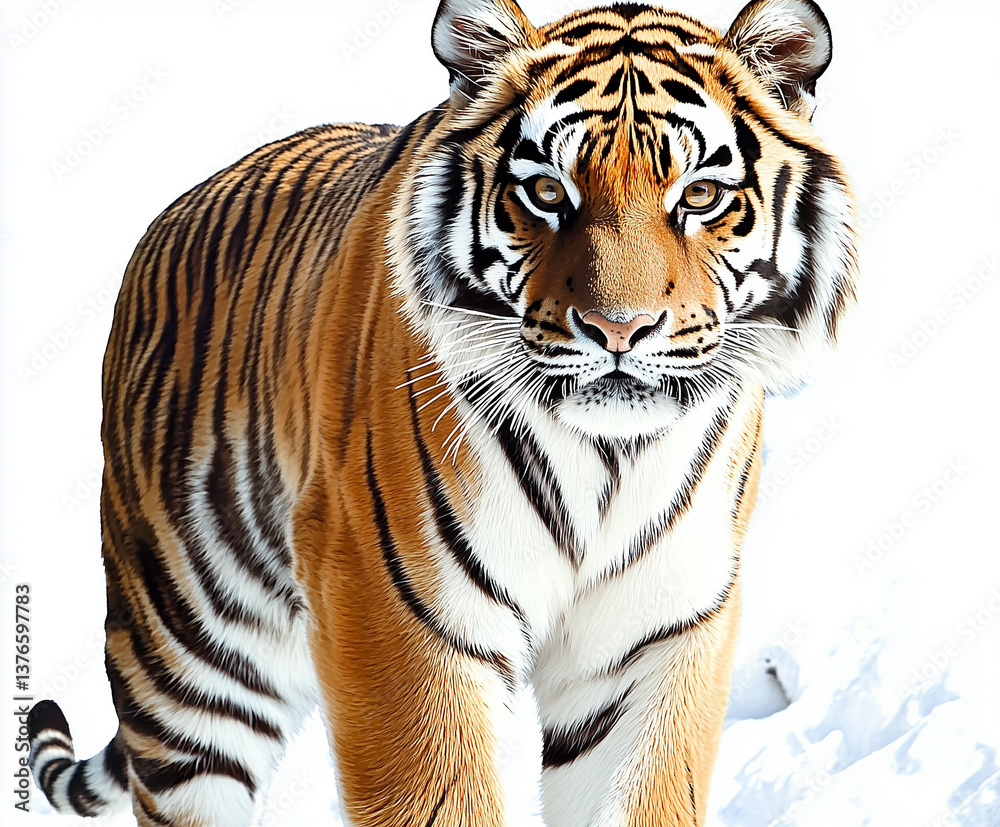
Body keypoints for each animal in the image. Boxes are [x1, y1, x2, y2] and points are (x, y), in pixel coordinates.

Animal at [27, 0, 857, 824]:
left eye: (700, 195)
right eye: (547, 193)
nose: (619, 329)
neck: (607, 460)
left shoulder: (653, 635)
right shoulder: (397, 609)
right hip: (189, 668)